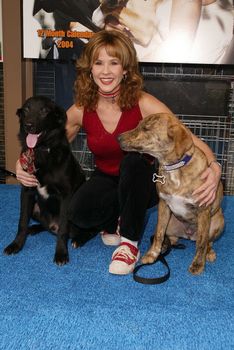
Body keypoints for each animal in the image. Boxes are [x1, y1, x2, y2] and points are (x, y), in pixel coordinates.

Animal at [3, 95, 86, 266]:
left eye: (44, 111)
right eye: (26, 110)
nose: (28, 125)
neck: (41, 150)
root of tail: (52, 226)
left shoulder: (66, 196)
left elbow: (63, 229)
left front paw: (61, 253)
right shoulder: (27, 192)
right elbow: (22, 222)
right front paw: (16, 244)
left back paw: (79, 239)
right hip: (35, 209)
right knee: (42, 224)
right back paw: (33, 229)